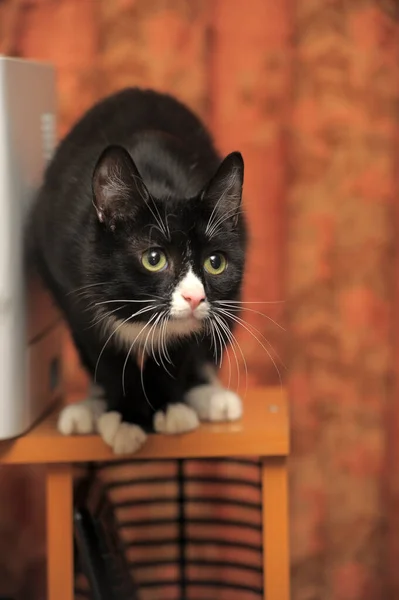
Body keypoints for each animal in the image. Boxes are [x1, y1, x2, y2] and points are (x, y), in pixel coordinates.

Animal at [31, 88, 248, 454]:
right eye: (154, 258)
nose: (194, 297)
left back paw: (210, 397)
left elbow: (180, 347)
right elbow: (107, 358)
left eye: (215, 262)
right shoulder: (75, 290)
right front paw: (127, 419)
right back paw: (87, 410)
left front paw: (169, 408)